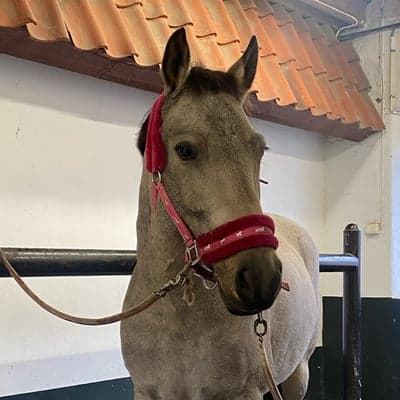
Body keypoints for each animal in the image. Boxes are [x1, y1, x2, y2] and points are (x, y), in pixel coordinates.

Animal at [120, 28, 320, 400]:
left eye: (259, 149)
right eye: (184, 150)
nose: (260, 278)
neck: (178, 320)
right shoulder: (146, 392)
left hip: (297, 374)